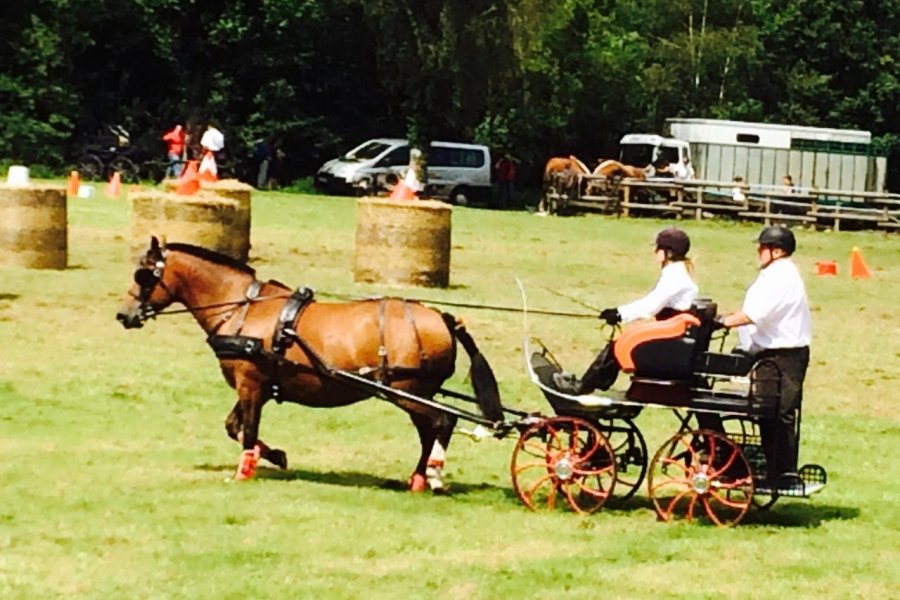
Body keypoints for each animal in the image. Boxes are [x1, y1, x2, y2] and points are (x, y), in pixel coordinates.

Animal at [116, 237, 502, 490]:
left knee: (442, 422)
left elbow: (247, 430)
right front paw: (275, 455)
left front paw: (244, 472)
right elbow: (234, 427)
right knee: (430, 430)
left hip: (408, 392)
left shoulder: (250, 384)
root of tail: (443, 318)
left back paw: (432, 473)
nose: (124, 314)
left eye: (142, 275)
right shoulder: (257, 386)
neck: (241, 307)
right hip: (415, 394)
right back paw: (420, 478)